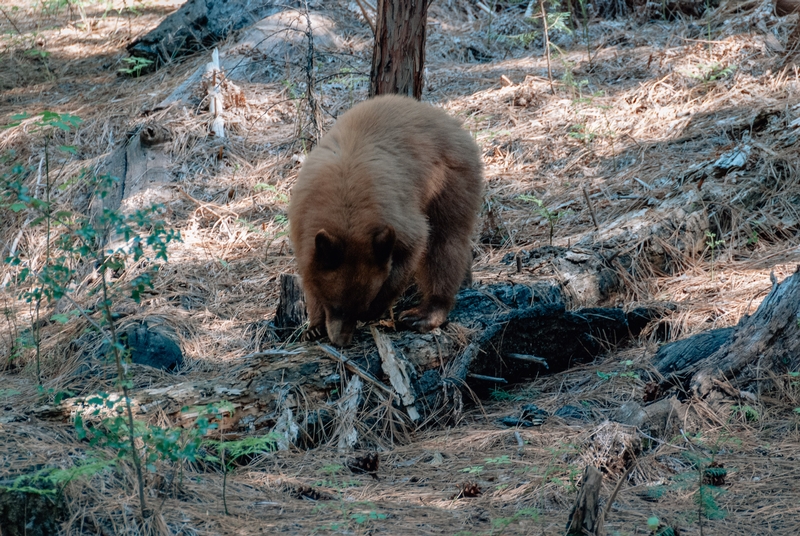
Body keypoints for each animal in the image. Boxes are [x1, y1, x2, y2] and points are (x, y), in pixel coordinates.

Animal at [290, 94, 484, 348]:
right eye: (335, 305)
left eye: (357, 307)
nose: (342, 341)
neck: (346, 210)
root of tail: (452, 122)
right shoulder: (301, 221)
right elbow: (309, 271)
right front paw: (314, 326)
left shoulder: (398, 217)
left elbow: (411, 249)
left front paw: (375, 308)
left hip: (450, 179)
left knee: (444, 243)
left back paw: (424, 314)